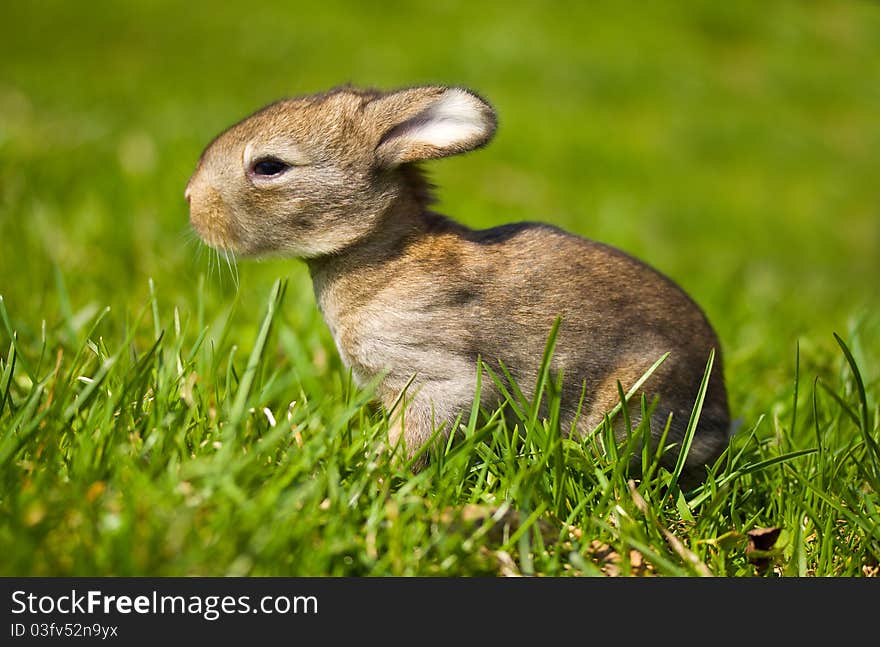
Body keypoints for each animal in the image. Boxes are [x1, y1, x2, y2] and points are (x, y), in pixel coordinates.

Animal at [189, 85, 732, 480]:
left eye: (269, 166)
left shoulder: (433, 372)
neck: (383, 252)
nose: (191, 201)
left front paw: (377, 468)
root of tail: (718, 416)